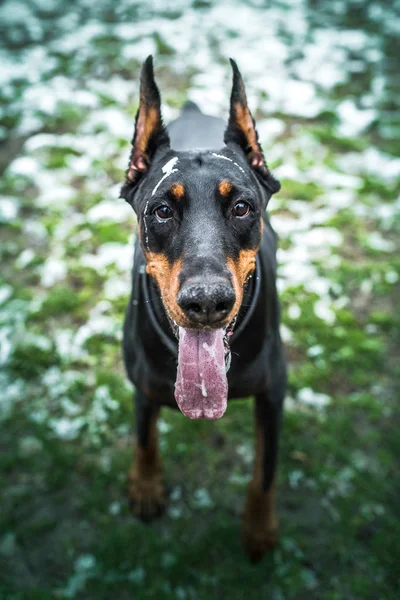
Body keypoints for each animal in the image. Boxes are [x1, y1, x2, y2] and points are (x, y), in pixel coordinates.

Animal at [120, 56, 286, 564]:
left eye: (242, 206)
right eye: (161, 210)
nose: (207, 301)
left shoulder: (274, 392)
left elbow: (266, 470)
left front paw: (259, 527)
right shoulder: (143, 382)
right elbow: (144, 436)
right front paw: (146, 486)